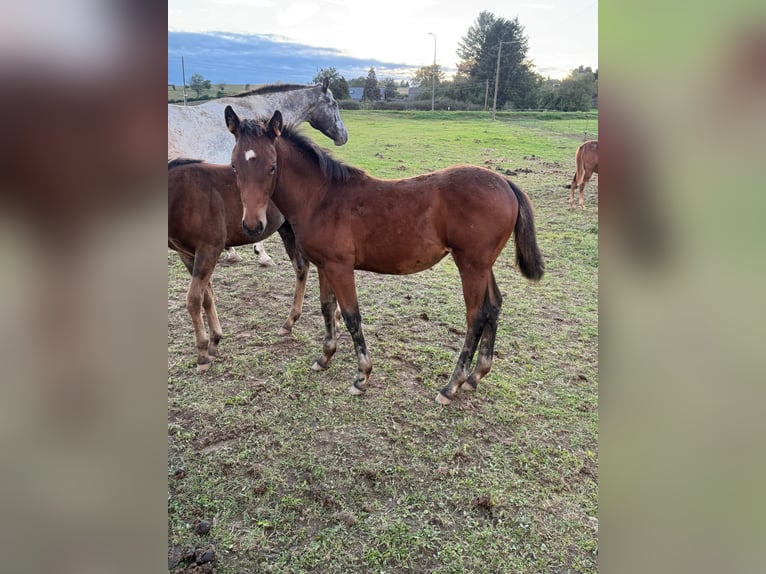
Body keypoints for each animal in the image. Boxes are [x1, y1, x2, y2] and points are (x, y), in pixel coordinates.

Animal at [224, 107, 545, 404]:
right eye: (234, 166)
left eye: (272, 167)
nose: (252, 225)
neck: (320, 197)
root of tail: (506, 183)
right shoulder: (324, 265)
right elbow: (327, 308)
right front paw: (325, 357)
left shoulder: (340, 267)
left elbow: (351, 315)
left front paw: (362, 376)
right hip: (482, 264)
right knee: (494, 307)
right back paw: (476, 376)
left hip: (471, 265)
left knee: (476, 316)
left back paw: (451, 386)